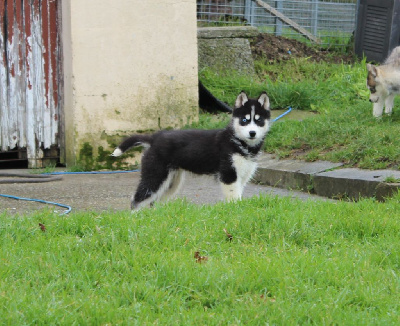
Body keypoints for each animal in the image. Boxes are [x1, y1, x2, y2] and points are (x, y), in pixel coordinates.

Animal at [111, 90, 270, 210]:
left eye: (259, 120)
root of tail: (154, 138)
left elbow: (239, 195)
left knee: (154, 202)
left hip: (171, 181)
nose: (252, 133)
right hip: (155, 175)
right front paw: (235, 210)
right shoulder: (229, 174)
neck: (238, 141)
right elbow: (234, 198)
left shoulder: (242, 176)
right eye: (244, 120)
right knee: (137, 199)